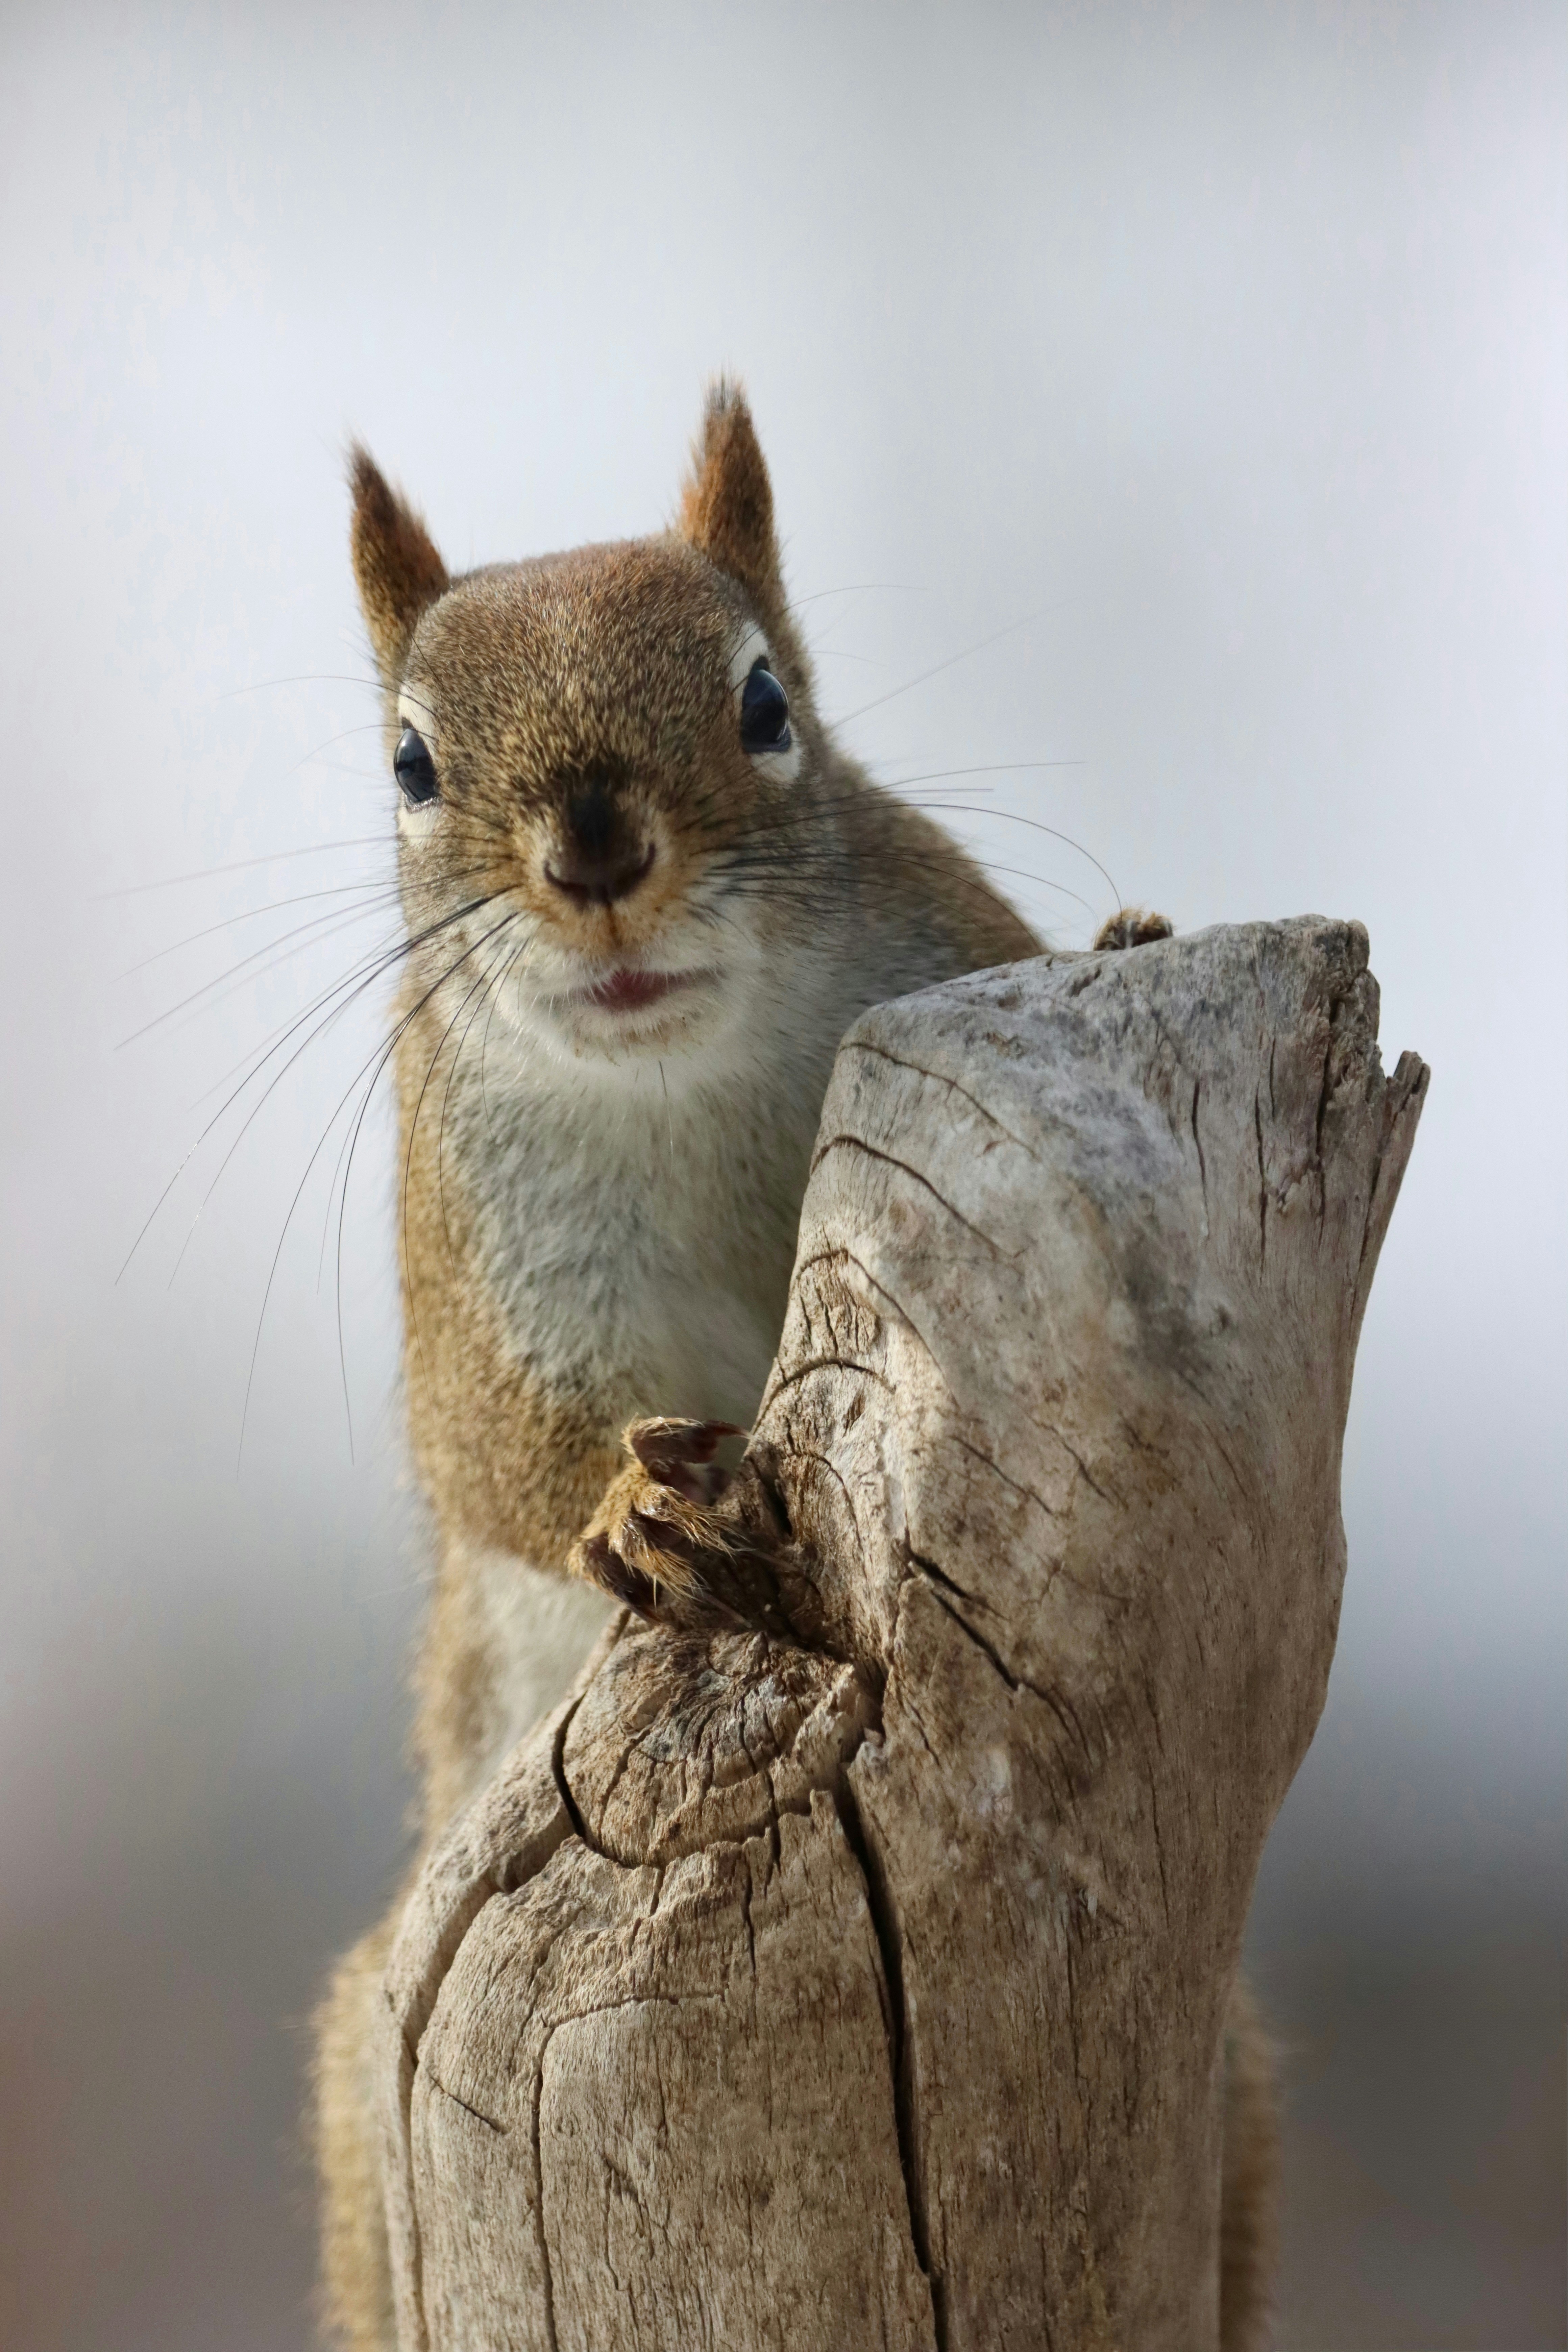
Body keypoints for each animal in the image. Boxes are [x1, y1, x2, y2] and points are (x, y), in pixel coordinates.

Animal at [312, 381, 1274, 2350]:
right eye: (411, 766)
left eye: (767, 705)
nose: (595, 858)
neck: (679, 1068)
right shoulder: (472, 1258)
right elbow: (487, 1448)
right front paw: (627, 1508)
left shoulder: (941, 943)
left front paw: (1131, 939)